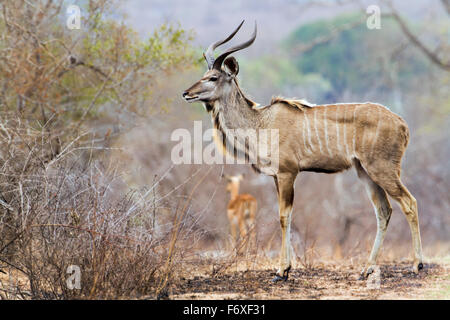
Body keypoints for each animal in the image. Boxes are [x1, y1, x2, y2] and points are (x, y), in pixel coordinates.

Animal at [182, 20, 422, 282]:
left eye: (213, 77)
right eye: (204, 75)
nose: (186, 93)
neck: (261, 123)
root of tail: (402, 124)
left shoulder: (288, 173)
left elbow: (284, 216)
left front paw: (281, 271)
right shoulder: (276, 177)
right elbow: (284, 215)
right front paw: (285, 268)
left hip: (382, 169)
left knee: (409, 202)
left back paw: (417, 265)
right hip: (365, 172)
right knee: (384, 210)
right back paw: (366, 269)